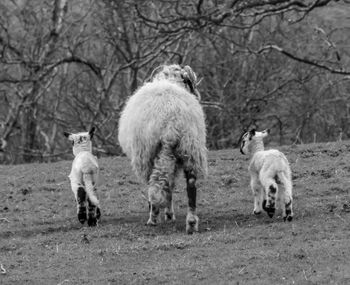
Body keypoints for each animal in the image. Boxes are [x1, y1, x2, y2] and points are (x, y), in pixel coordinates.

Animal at [119, 63, 208, 233]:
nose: (198, 95)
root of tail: (171, 122)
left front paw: (165, 214)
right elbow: (170, 186)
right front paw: (169, 214)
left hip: (148, 155)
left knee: (152, 185)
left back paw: (153, 218)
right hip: (190, 148)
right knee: (190, 184)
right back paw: (191, 222)